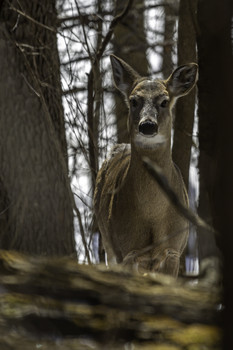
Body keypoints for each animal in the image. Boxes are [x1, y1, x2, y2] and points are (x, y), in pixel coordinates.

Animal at [93, 54, 198, 276]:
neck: (152, 215)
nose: (147, 125)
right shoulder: (128, 250)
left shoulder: (173, 249)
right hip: (108, 242)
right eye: (134, 100)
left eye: (164, 101)